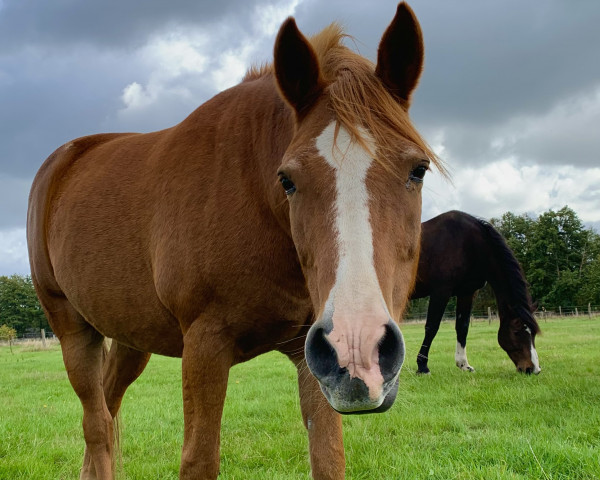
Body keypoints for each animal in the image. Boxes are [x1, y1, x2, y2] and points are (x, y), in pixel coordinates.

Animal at [25, 4, 442, 480]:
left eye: (418, 169)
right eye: (287, 180)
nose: (359, 349)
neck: (253, 197)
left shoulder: (312, 360)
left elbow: (328, 458)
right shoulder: (205, 347)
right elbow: (198, 459)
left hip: (130, 337)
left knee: (108, 412)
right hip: (72, 330)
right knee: (96, 425)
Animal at [410, 212, 540, 376]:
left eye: (533, 333)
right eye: (516, 332)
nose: (533, 369)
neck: (467, 244)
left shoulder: (467, 293)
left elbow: (462, 327)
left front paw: (463, 364)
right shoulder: (441, 291)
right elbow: (432, 327)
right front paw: (422, 366)